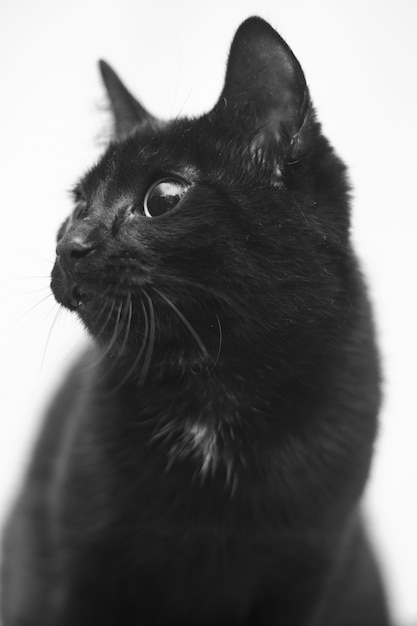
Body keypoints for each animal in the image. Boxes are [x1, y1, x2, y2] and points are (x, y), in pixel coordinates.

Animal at [0, 15, 390, 624]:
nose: (71, 245)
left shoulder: (304, 574)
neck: (214, 389)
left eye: (163, 197)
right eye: (77, 205)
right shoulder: (82, 568)